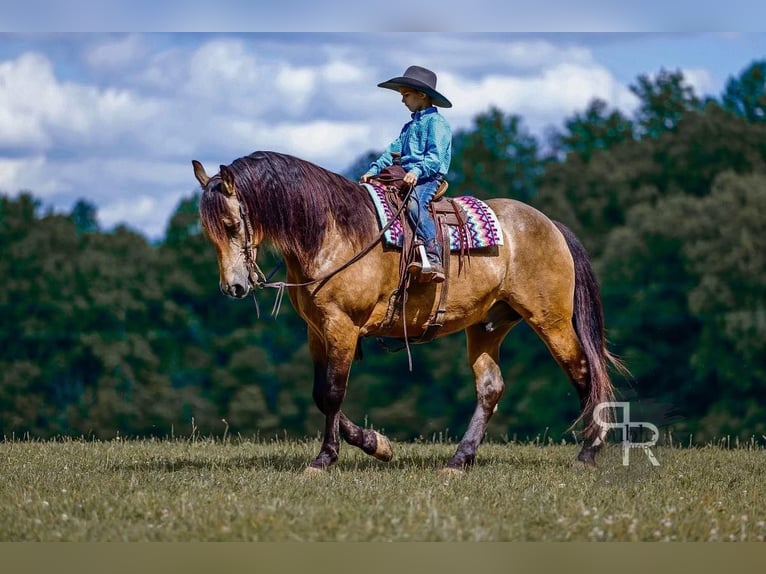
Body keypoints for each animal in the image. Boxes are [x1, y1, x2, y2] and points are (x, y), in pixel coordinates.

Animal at [190, 151, 624, 474]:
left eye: (232, 224)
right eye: (208, 232)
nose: (234, 287)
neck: (333, 233)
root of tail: (550, 224)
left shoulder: (342, 327)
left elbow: (331, 393)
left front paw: (325, 459)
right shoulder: (317, 331)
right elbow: (321, 394)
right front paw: (377, 444)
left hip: (551, 320)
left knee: (583, 372)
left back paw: (588, 453)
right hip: (486, 326)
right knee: (490, 388)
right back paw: (459, 460)